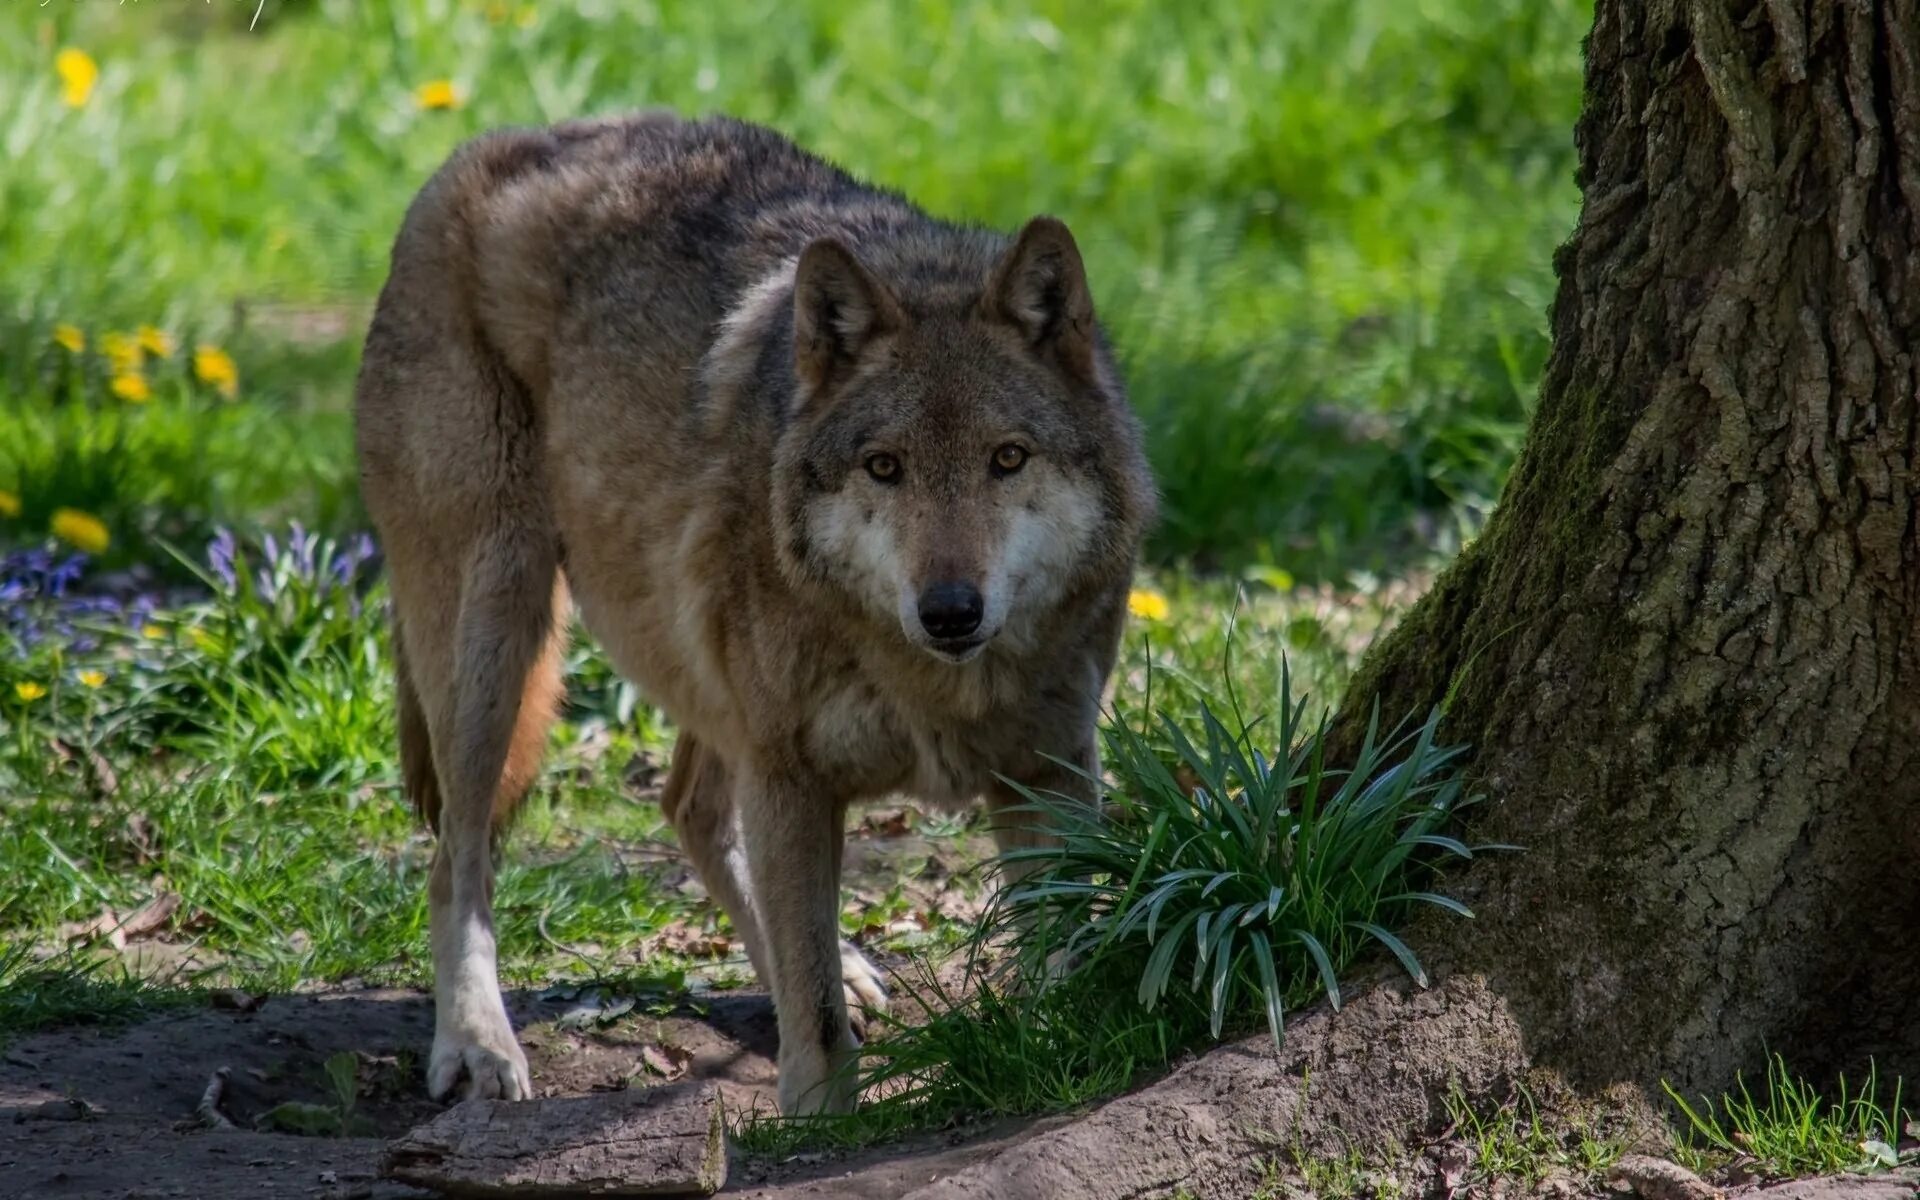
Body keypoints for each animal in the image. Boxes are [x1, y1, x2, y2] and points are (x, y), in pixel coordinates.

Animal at [357, 112, 1152, 1113]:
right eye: (885, 467)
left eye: (1007, 458)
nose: (949, 611)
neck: (938, 689)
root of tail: (490, 144)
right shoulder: (793, 775)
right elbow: (813, 1004)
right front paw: (817, 1120)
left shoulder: (1049, 765)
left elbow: (1060, 942)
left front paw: (1065, 1051)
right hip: (498, 633)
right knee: (454, 861)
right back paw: (475, 1044)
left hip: (695, 667)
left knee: (688, 809)